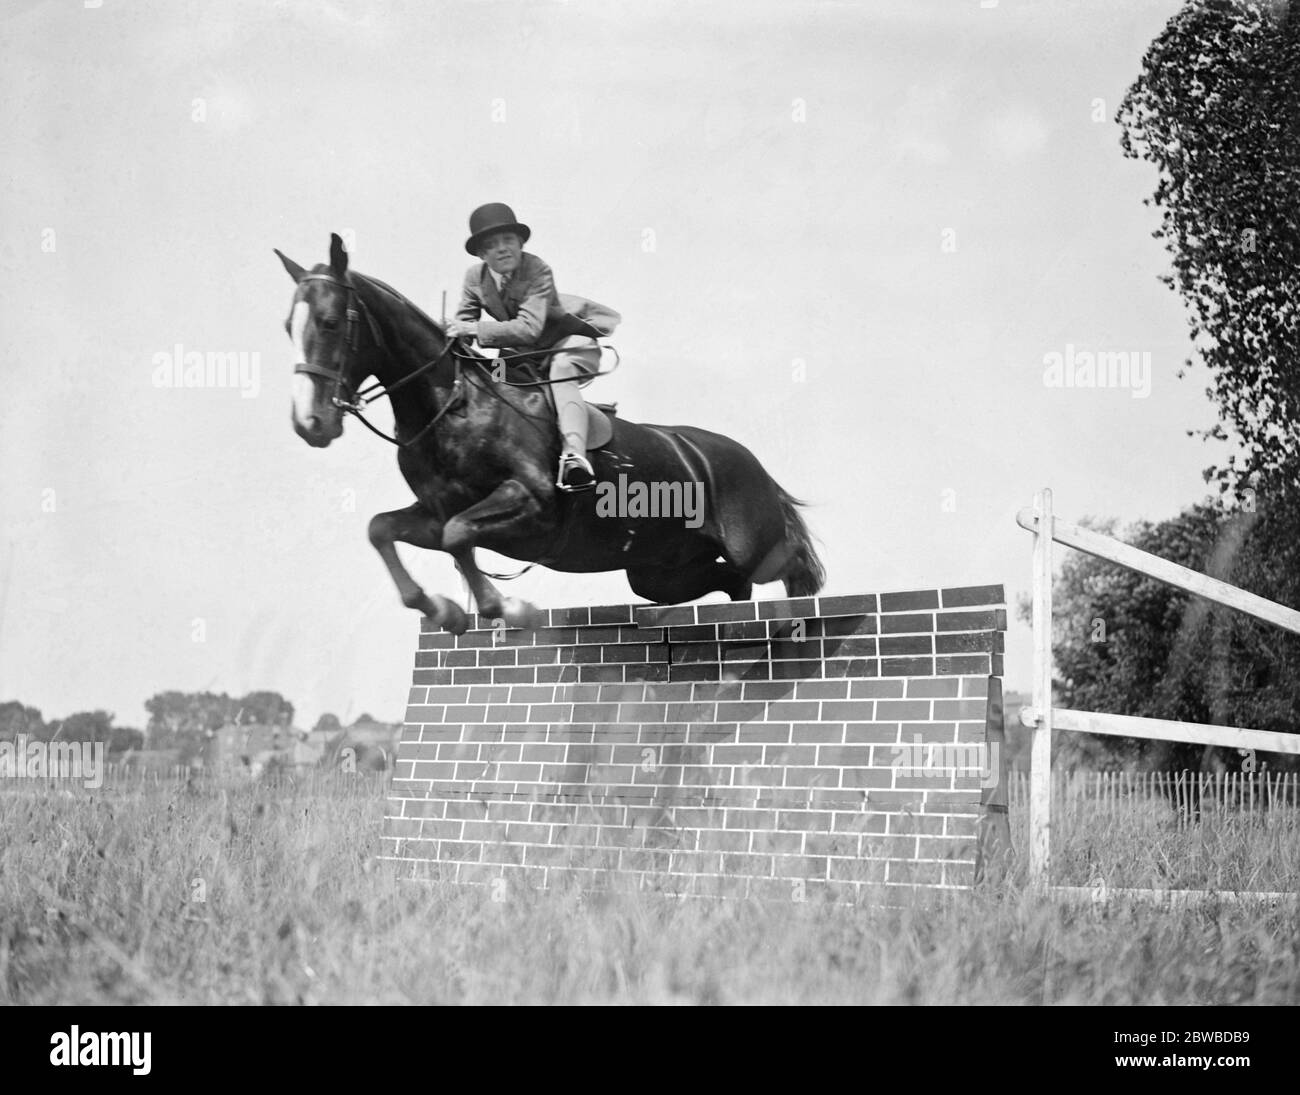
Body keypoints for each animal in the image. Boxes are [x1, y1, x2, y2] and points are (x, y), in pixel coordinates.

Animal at [274, 234, 821, 634]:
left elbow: (459, 536)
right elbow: (386, 529)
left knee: (789, 567)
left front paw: (509, 609)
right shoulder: (434, 513)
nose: (310, 424)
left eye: (328, 322)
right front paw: (442, 610)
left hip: (753, 546)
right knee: (732, 584)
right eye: (287, 327)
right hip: (659, 571)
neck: (451, 406)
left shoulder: (532, 503)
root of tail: (752, 463)